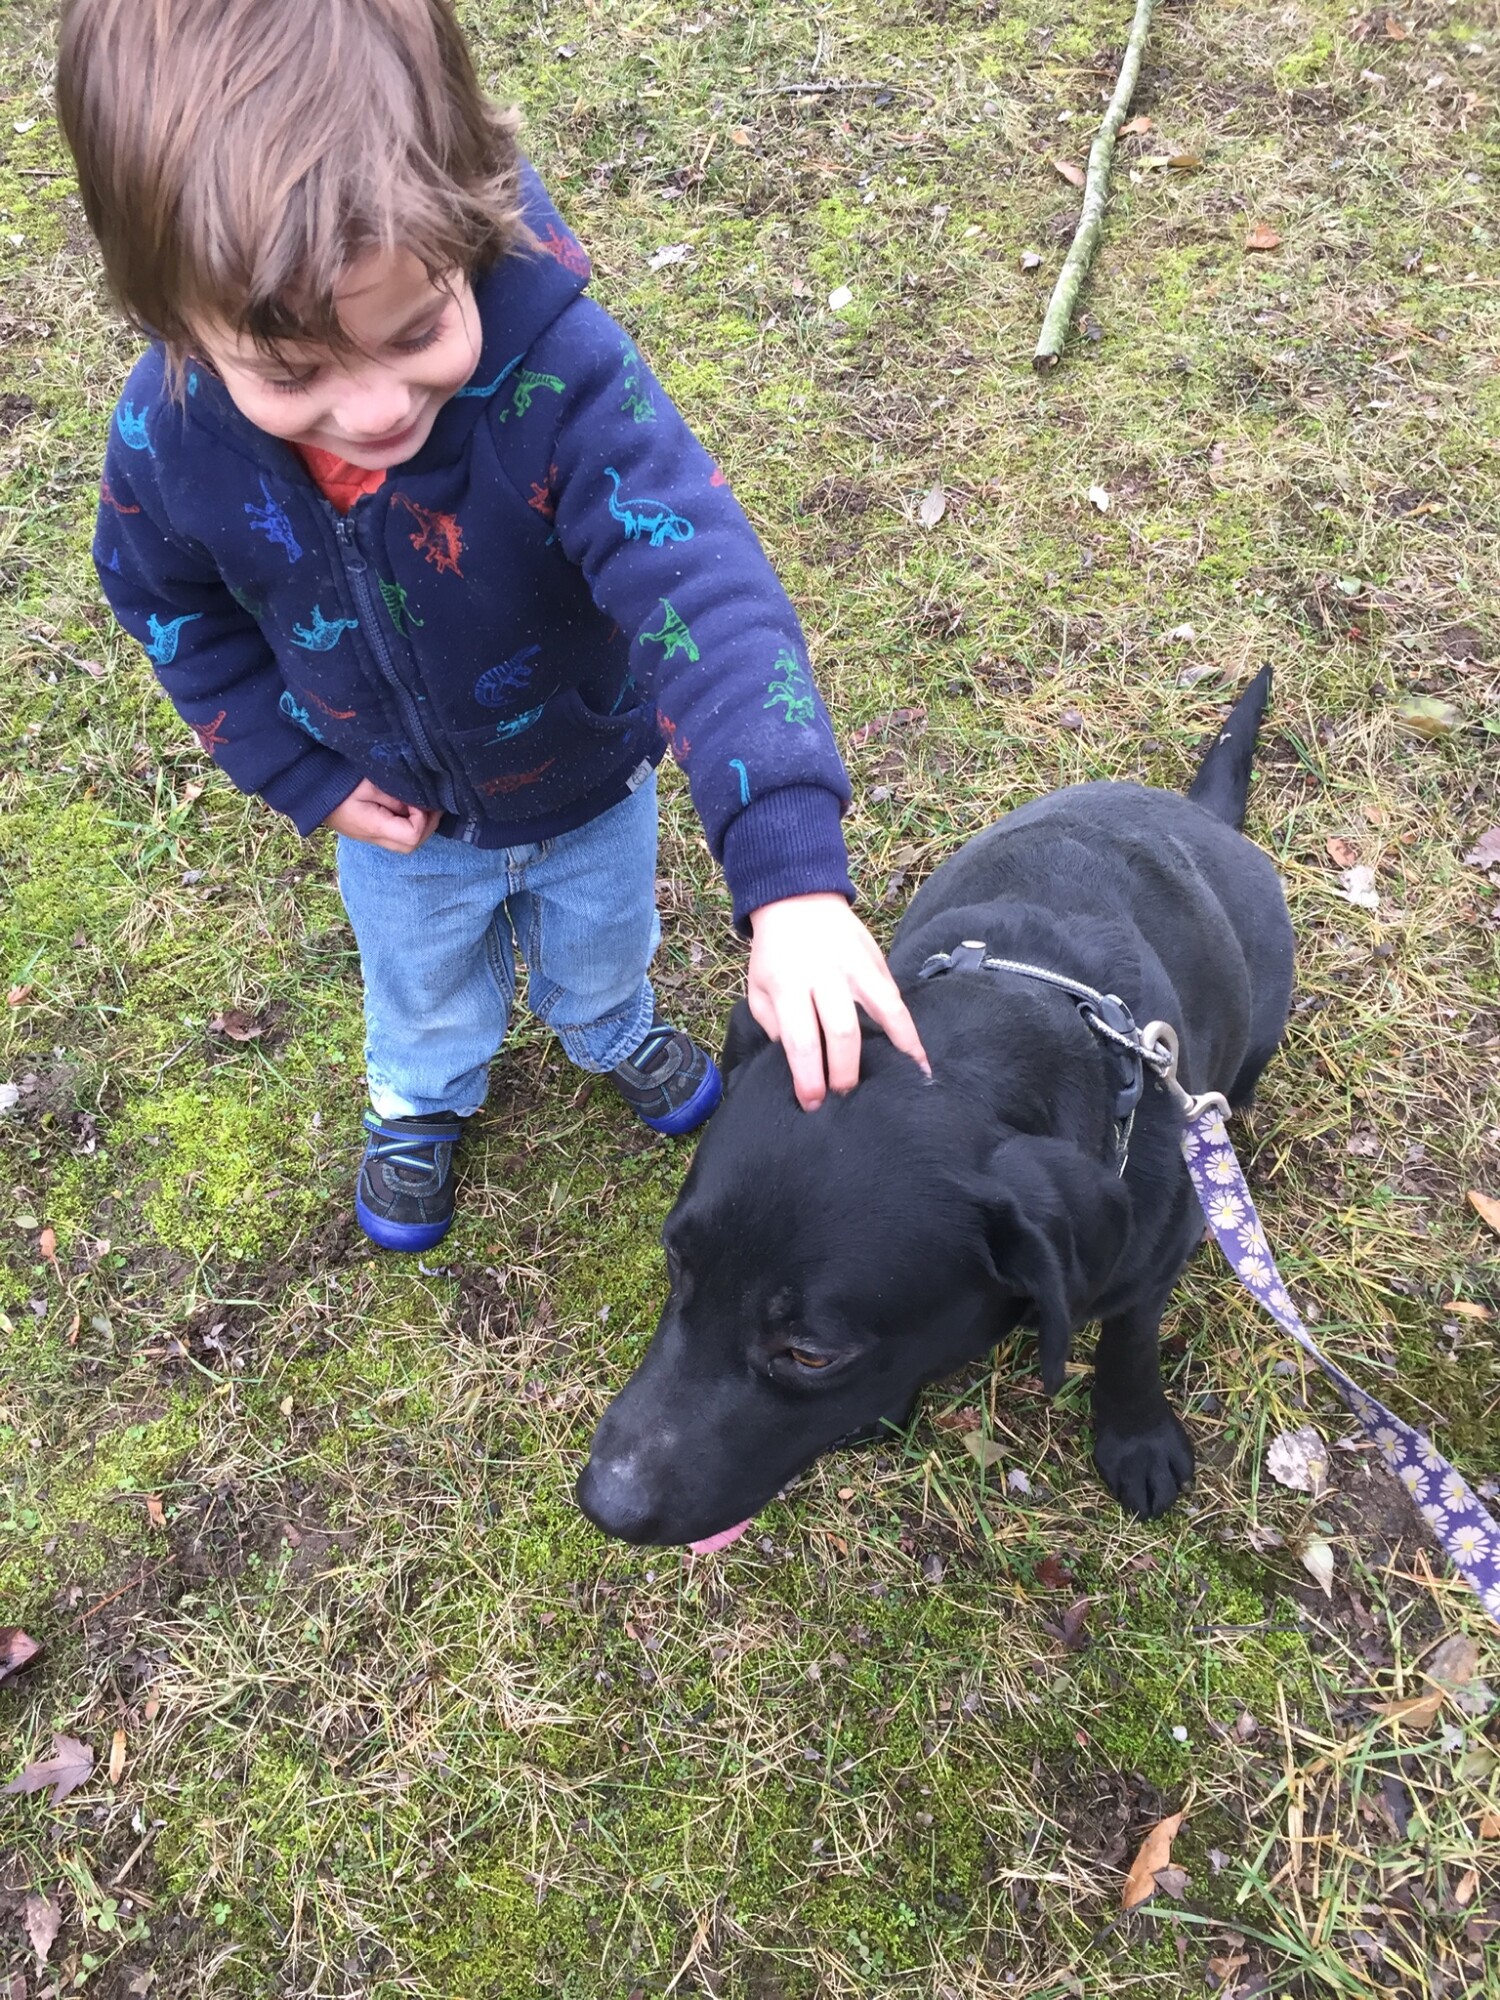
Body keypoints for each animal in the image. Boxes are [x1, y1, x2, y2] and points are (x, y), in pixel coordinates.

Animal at [580, 672, 1296, 1544]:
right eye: (676, 1263)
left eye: (812, 1354)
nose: (604, 1503)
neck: (1015, 1009)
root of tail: (1201, 814)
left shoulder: (1159, 1253)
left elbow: (1129, 1340)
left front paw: (1137, 1436)